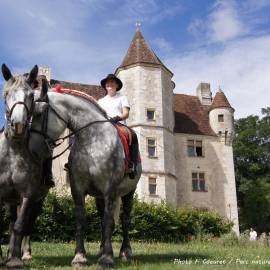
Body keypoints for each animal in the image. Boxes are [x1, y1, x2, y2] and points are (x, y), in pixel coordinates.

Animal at [37, 85, 142, 266]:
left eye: (39, 112)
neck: (92, 140)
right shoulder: (78, 189)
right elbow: (82, 220)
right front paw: (80, 257)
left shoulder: (109, 190)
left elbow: (109, 221)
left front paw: (107, 258)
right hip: (99, 197)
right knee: (103, 219)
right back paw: (102, 249)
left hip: (129, 192)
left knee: (125, 220)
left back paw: (125, 252)